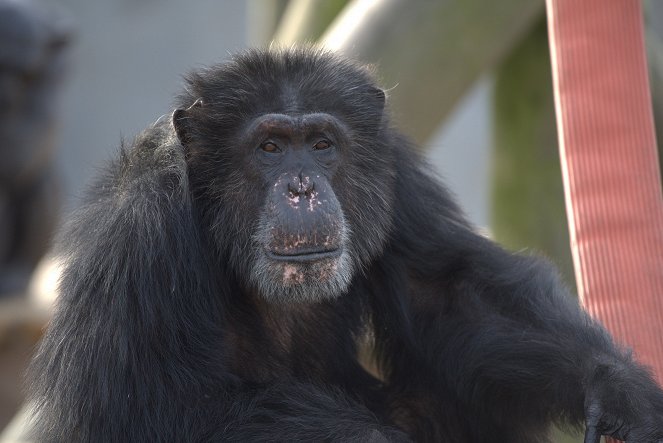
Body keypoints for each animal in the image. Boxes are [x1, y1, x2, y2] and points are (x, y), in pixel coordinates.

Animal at [28, 47, 663, 443]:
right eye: (269, 147)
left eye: (322, 143)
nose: (303, 186)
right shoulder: (138, 233)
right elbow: (139, 412)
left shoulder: (392, 168)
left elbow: (445, 291)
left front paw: (617, 388)